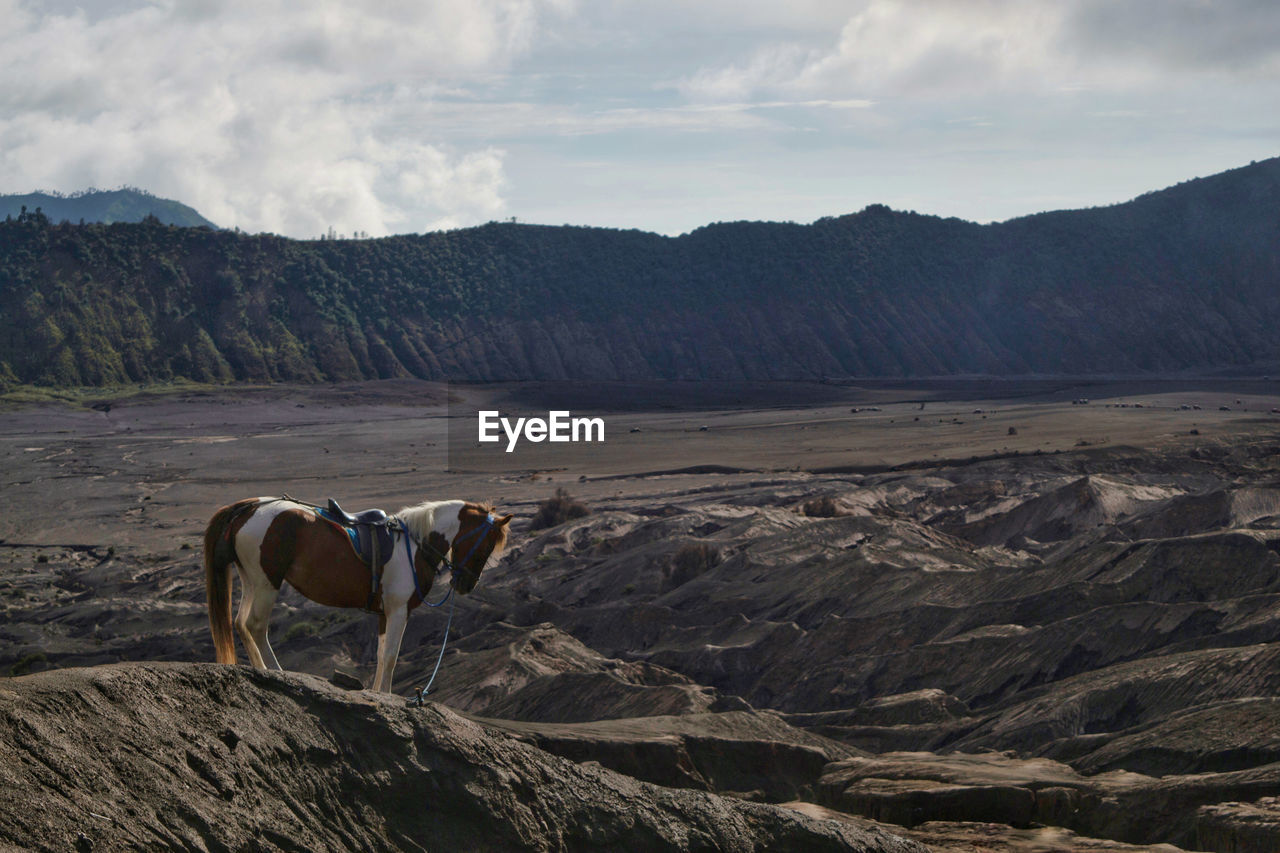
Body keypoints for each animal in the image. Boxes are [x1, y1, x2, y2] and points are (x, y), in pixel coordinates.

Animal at [202, 494, 512, 686]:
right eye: (486, 545)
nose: (466, 584)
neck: (414, 544)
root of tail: (249, 507)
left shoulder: (385, 614)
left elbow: (381, 655)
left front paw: (378, 693)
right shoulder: (399, 611)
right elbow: (392, 657)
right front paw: (386, 694)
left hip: (251, 581)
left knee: (240, 623)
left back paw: (260, 668)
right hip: (267, 583)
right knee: (255, 625)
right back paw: (276, 671)